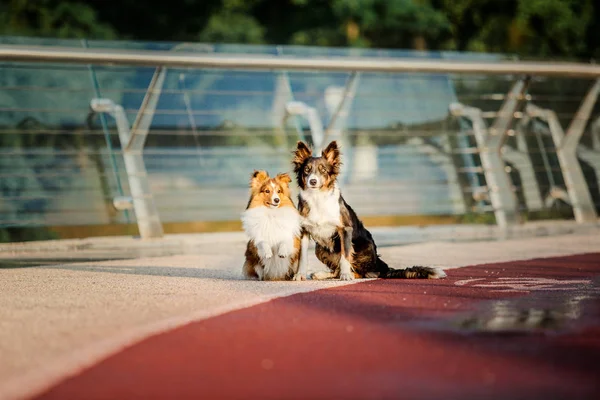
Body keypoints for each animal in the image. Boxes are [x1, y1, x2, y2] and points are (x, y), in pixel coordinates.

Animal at [292, 141, 448, 282]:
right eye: (306, 170)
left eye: (323, 170)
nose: (312, 181)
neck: (317, 198)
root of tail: (382, 267)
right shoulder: (304, 231)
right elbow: (302, 257)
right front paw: (300, 275)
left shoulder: (345, 230)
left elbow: (345, 255)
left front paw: (346, 275)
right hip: (320, 249)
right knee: (338, 270)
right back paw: (321, 275)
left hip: (362, 245)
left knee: (361, 272)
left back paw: (345, 274)